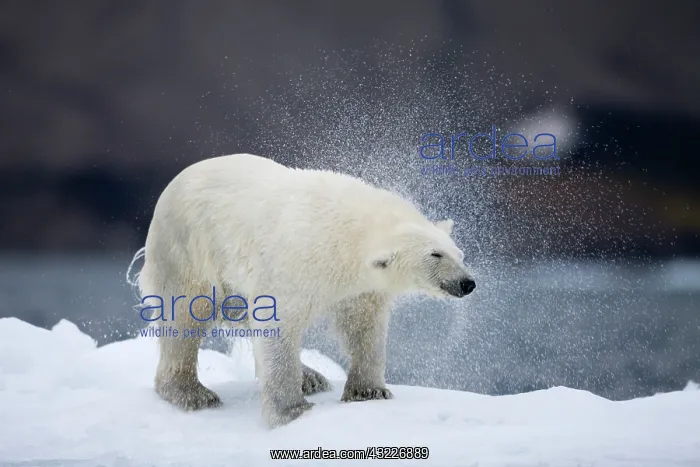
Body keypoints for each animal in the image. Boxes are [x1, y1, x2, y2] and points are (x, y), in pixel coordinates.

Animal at [131, 153, 476, 428]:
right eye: (435, 255)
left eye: (459, 253)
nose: (467, 283)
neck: (345, 232)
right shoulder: (295, 262)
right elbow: (277, 325)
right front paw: (292, 410)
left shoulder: (359, 288)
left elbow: (363, 327)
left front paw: (368, 391)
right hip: (186, 249)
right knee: (184, 316)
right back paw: (192, 393)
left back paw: (310, 376)